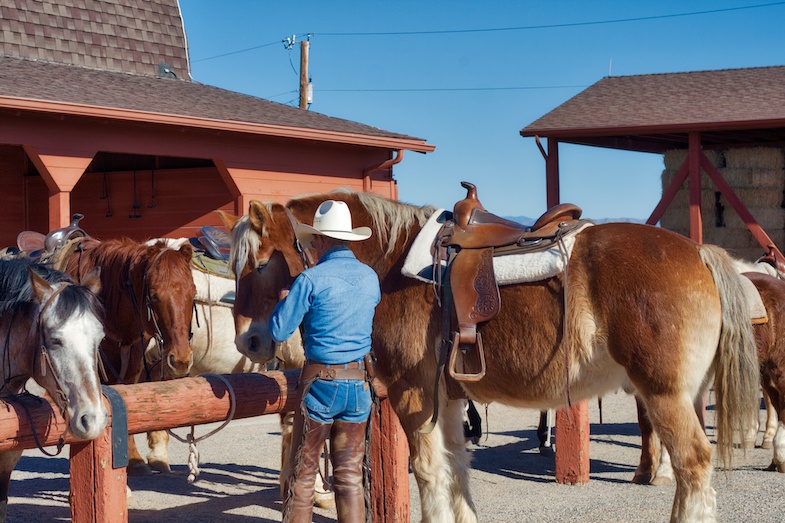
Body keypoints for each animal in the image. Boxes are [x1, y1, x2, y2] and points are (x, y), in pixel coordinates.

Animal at [225, 188, 760, 523]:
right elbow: (457, 468)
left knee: (693, 465)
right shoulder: (448, 401)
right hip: (686, 396)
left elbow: (429, 471)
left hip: (664, 395)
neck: (389, 262)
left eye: (260, 262)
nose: (249, 342)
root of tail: (702, 253)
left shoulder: (412, 396)